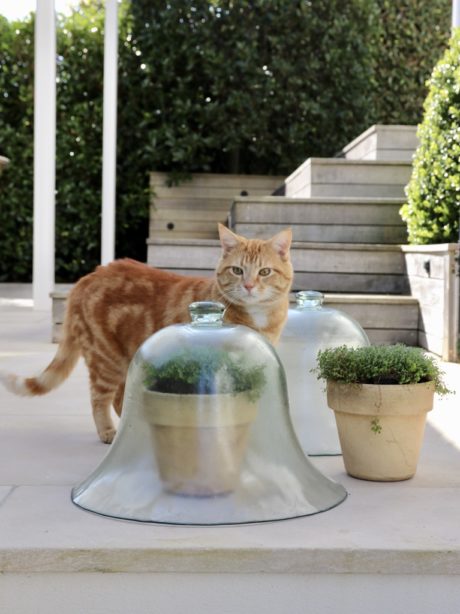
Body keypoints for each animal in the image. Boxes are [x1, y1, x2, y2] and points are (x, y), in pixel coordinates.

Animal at [0, 225, 292, 442]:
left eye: (265, 271)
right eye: (237, 270)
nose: (249, 285)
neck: (258, 317)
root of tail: (85, 279)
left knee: (118, 398)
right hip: (106, 359)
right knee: (99, 398)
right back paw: (108, 432)